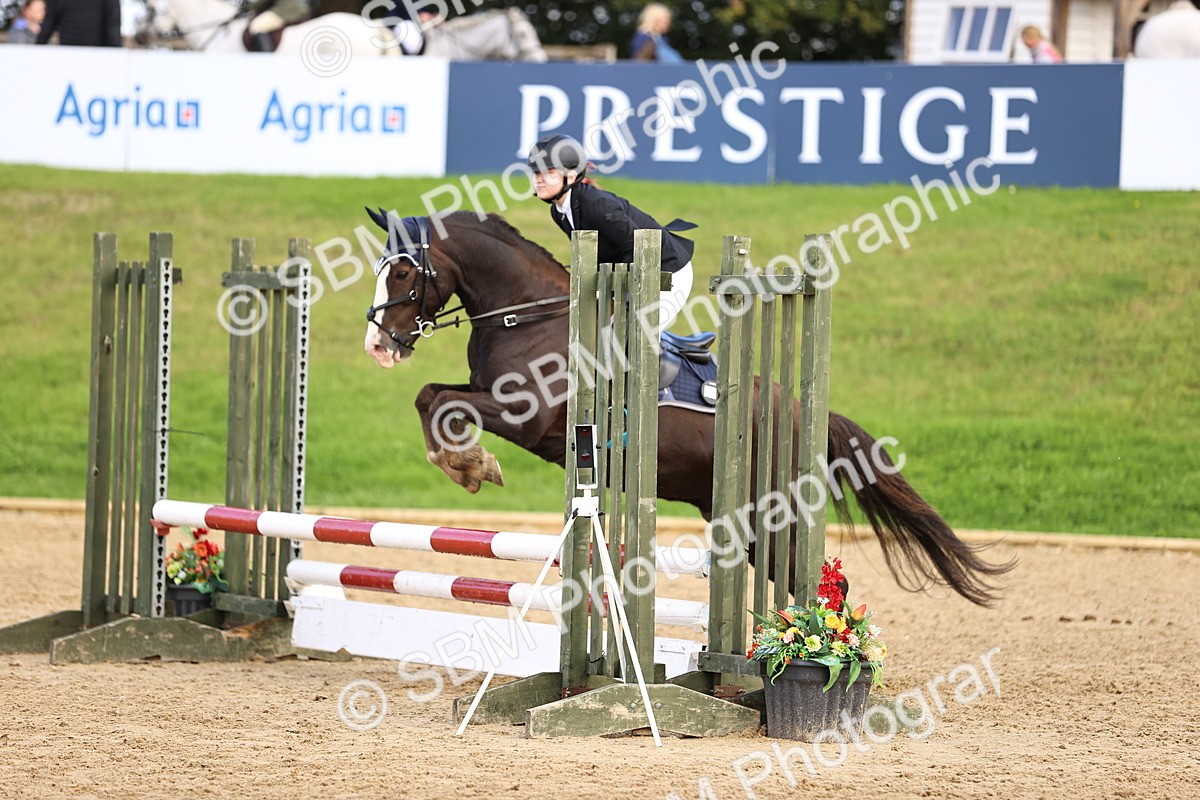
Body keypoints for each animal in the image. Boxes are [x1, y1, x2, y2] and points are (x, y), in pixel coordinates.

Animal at [362, 211, 1015, 607]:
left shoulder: (526, 416)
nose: (377, 344)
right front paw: (463, 464)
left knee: (816, 582)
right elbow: (430, 396)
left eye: (404, 270)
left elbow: (443, 402)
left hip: (770, 513)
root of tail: (806, 414)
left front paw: (472, 466)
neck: (530, 313)